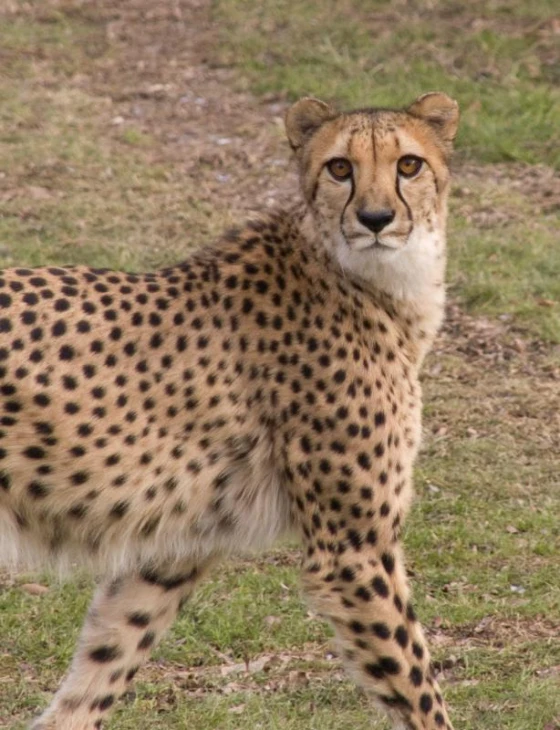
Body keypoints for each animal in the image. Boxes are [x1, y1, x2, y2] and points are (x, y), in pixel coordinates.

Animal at [1, 92, 460, 728]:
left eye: (409, 165)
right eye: (340, 167)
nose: (375, 218)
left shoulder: (174, 549)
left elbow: (100, 670)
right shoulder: (353, 551)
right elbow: (419, 690)